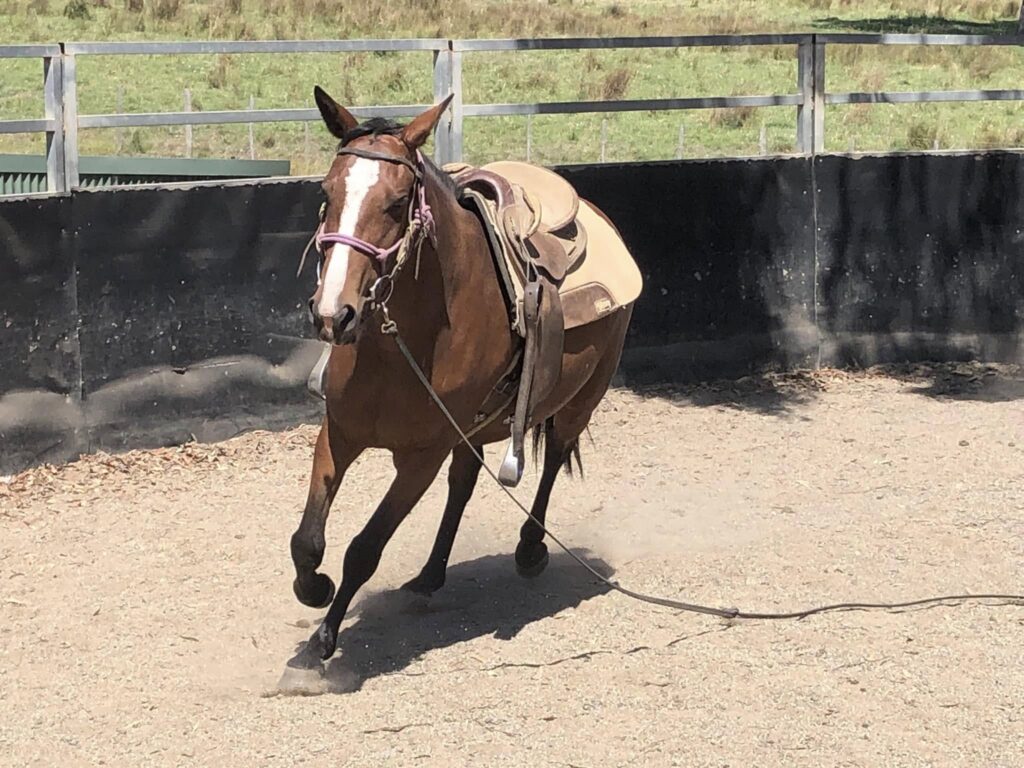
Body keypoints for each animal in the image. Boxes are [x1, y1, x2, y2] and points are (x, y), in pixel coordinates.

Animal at [287, 87, 634, 668]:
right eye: (326, 192)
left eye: (397, 202)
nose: (334, 314)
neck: (401, 347)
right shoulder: (339, 433)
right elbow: (307, 540)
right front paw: (314, 590)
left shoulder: (420, 458)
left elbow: (365, 548)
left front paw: (326, 636)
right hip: (471, 428)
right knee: (464, 483)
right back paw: (430, 574)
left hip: (582, 398)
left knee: (553, 458)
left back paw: (530, 548)